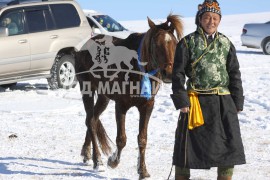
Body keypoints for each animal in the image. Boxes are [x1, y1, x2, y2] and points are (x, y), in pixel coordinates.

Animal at [74, 14, 184, 179]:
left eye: (174, 43)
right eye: (155, 45)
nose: (169, 74)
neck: (136, 69)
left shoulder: (147, 106)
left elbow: (142, 139)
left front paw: (142, 170)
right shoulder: (121, 105)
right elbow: (121, 139)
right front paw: (113, 161)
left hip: (103, 97)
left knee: (92, 119)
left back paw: (87, 154)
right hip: (87, 90)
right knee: (91, 121)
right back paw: (97, 160)